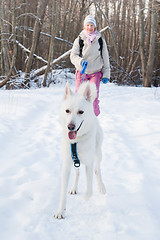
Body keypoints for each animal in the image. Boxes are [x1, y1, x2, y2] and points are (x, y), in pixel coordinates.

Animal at [54, 81, 105, 218]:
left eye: (81, 112)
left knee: (97, 170)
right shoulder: (66, 165)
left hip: (98, 154)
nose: (70, 126)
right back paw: (74, 188)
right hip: (74, 162)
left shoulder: (89, 163)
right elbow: (62, 193)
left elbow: (90, 188)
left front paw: (86, 197)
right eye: (67, 111)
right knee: (77, 173)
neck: (76, 142)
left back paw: (102, 187)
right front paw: (60, 211)